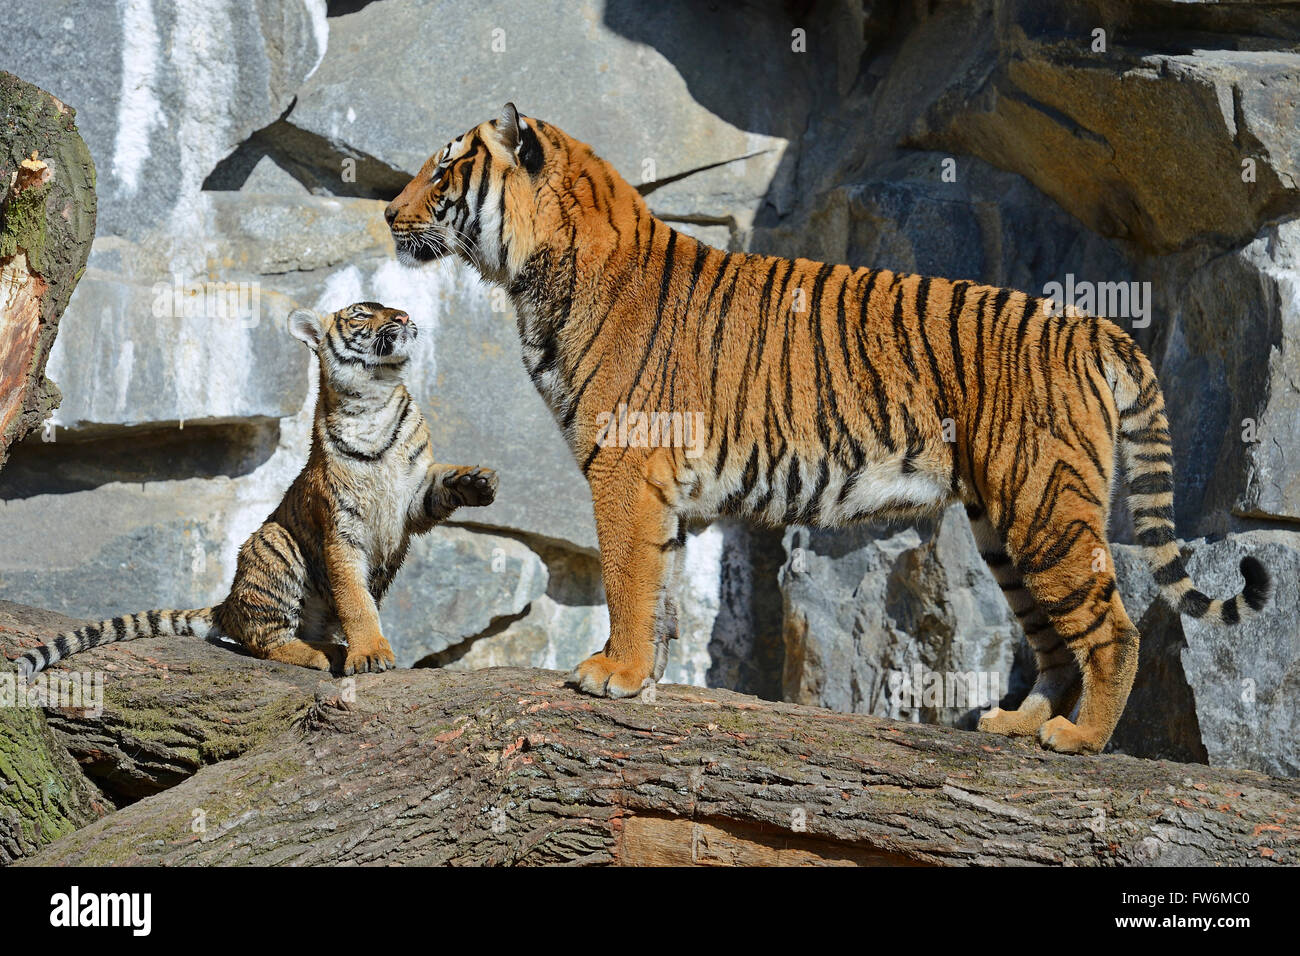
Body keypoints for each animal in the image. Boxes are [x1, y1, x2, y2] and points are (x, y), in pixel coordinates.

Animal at [14, 301, 497, 681]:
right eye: (363, 314)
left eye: (394, 307)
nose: (405, 316)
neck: (372, 401)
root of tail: (227, 601)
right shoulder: (341, 528)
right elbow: (357, 602)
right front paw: (369, 654)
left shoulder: (411, 496)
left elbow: (440, 485)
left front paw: (477, 481)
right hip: (275, 543)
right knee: (262, 641)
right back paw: (326, 654)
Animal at [383, 103, 1271, 754]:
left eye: (445, 166)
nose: (388, 213)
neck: (534, 276)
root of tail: (1092, 325)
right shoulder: (652, 486)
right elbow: (659, 586)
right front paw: (646, 676)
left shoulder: (624, 470)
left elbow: (629, 580)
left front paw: (613, 673)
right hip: (1005, 522)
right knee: (1054, 636)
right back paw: (1018, 722)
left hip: (1044, 503)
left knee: (1111, 628)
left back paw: (1079, 740)